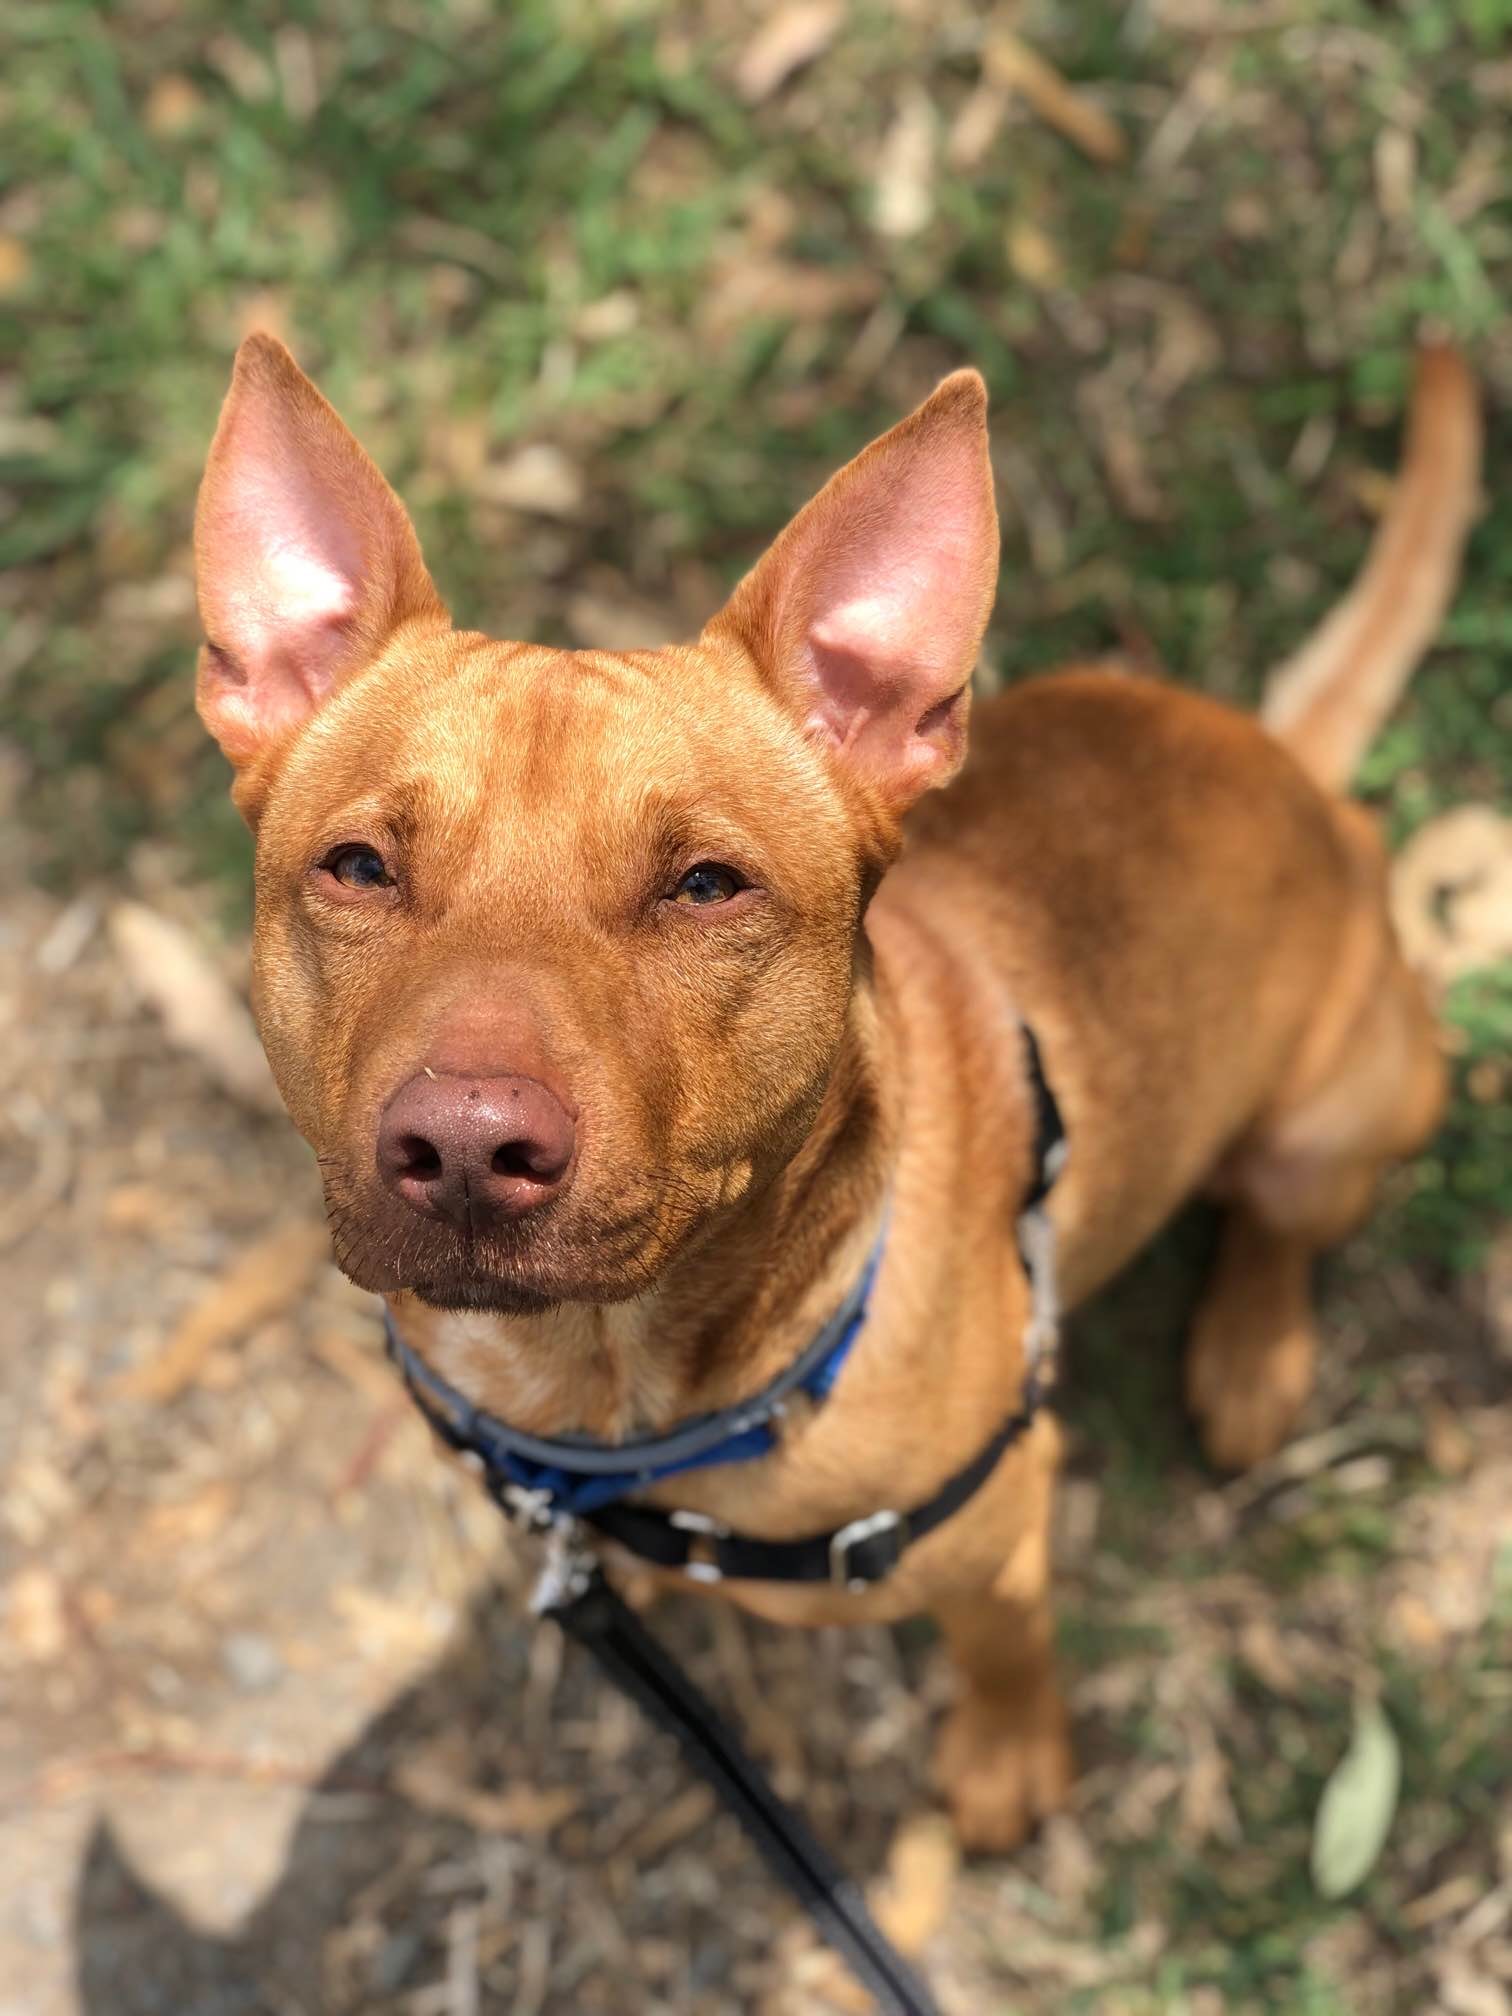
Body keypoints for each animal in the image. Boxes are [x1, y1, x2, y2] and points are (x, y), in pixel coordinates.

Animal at [193, 335, 1478, 1852]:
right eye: (356, 867)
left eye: (707, 885)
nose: (461, 1147)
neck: (625, 1399)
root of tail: (1286, 766)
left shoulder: (997, 1536)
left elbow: (1006, 1649)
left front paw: (1006, 1758)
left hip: (1331, 1120)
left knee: (1281, 1226)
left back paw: (1251, 1350)